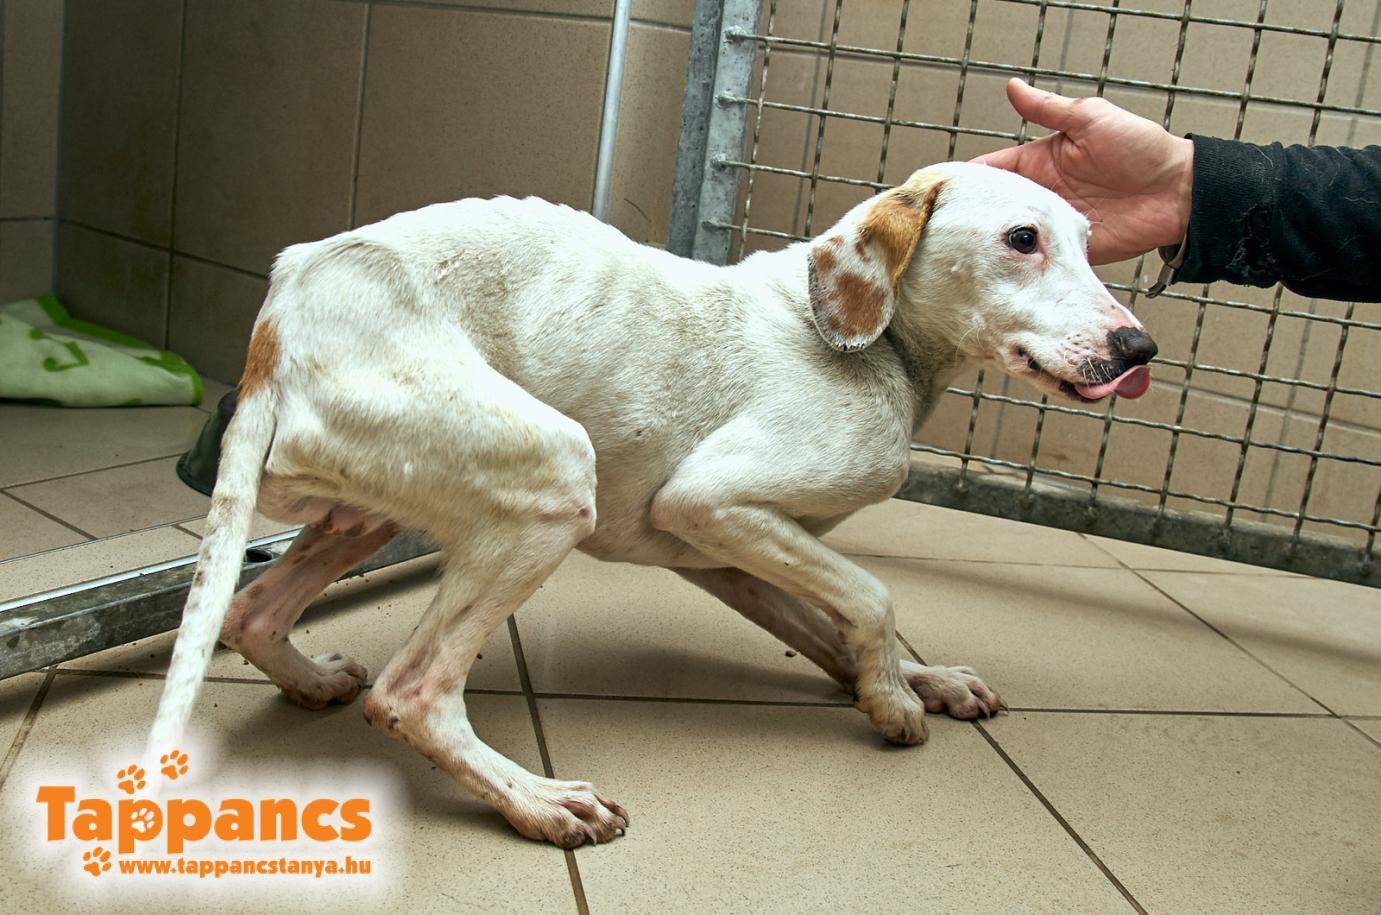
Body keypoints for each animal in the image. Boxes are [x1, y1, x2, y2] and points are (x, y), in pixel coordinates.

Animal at [147, 161, 1156, 848]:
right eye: (1021, 239)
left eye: (1086, 238)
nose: (1138, 346)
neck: (874, 347)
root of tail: (285, 308)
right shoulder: (712, 502)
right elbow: (873, 597)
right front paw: (894, 703)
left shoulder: (723, 555)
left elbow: (839, 626)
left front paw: (916, 679)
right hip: (554, 480)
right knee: (411, 694)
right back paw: (537, 801)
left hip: (370, 511)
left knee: (251, 609)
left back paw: (311, 677)